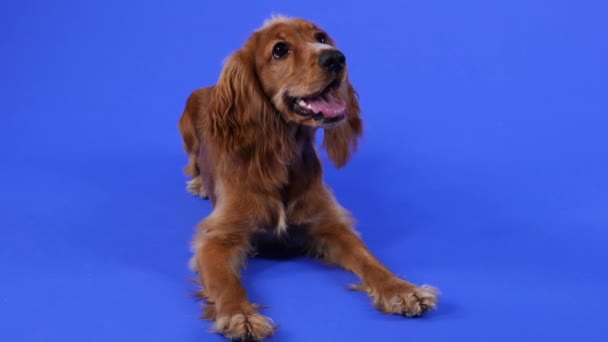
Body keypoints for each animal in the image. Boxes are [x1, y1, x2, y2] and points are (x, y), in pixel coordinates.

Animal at [178, 14, 440, 340]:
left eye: (322, 37)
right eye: (280, 49)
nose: (336, 58)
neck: (282, 154)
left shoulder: (331, 225)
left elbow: (370, 261)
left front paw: (402, 290)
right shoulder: (217, 238)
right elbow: (227, 283)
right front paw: (241, 316)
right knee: (192, 162)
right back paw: (199, 183)